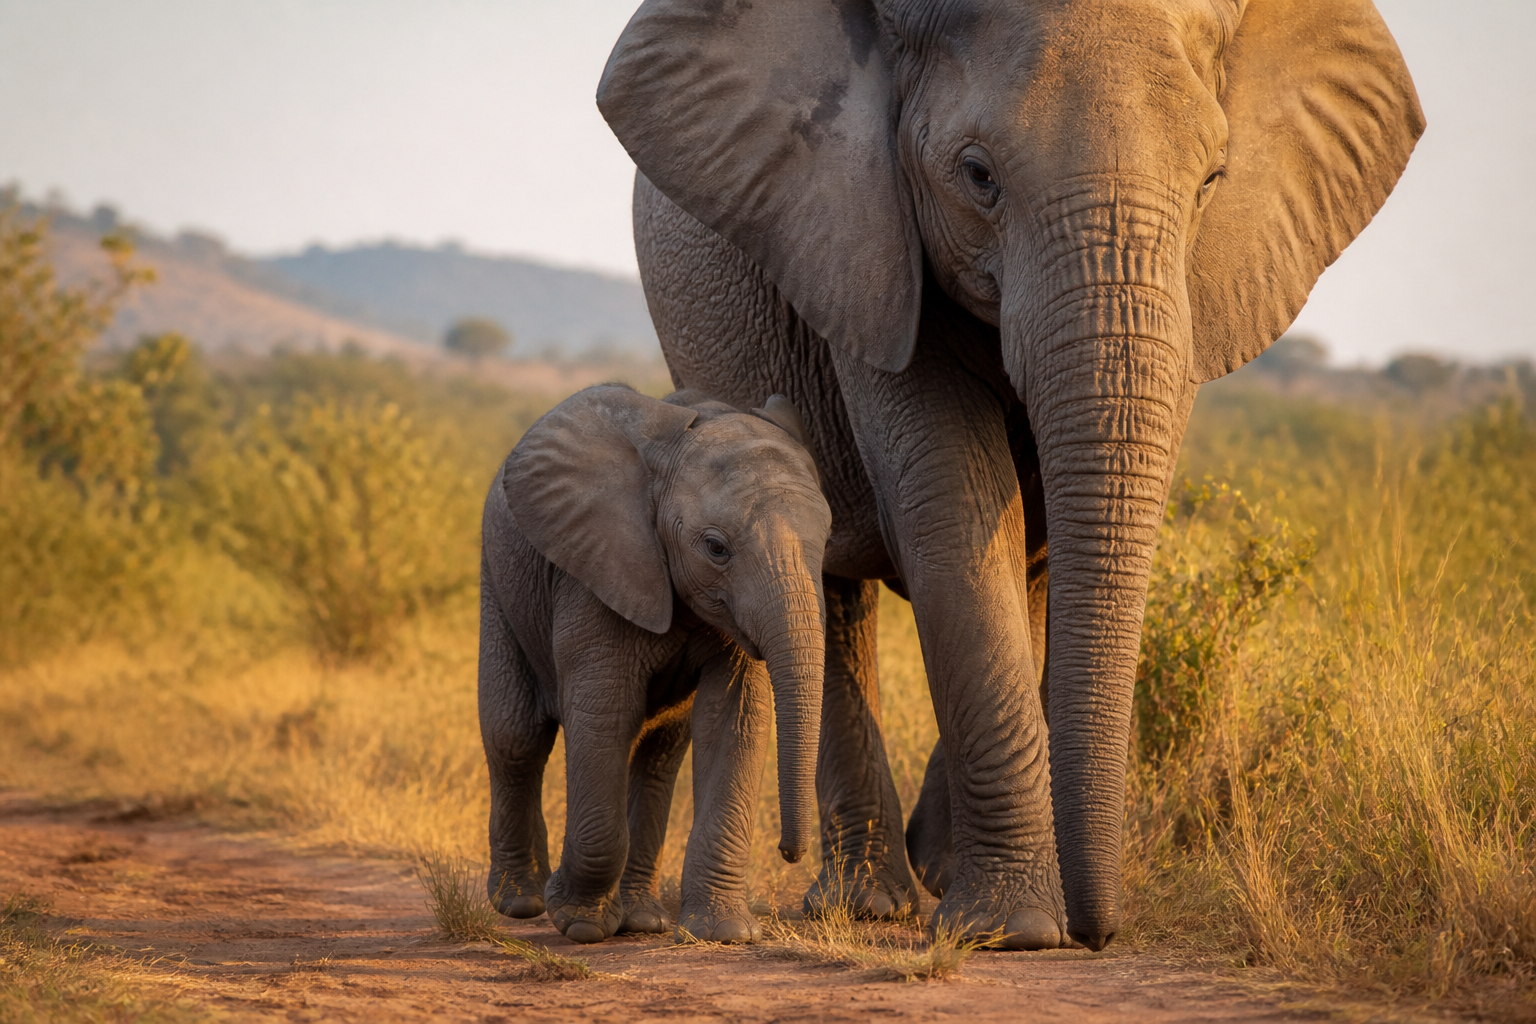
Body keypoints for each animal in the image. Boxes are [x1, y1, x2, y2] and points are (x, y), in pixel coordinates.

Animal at [478, 384, 831, 943]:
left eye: (828, 542)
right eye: (716, 548)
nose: (790, 853)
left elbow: (733, 721)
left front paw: (724, 933)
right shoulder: (595, 569)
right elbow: (605, 712)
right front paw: (577, 923)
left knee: (659, 754)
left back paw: (642, 920)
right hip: (498, 581)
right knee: (516, 737)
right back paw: (520, 902)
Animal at [596, 0, 1423, 950]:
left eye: (1213, 180)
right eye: (978, 175)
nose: (1100, 935)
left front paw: (996, 904)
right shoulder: (860, 231)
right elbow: (952, 502)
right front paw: (1012, 931)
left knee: (1019, 565)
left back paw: (933, 867)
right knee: (830, 581)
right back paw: (870, 901)